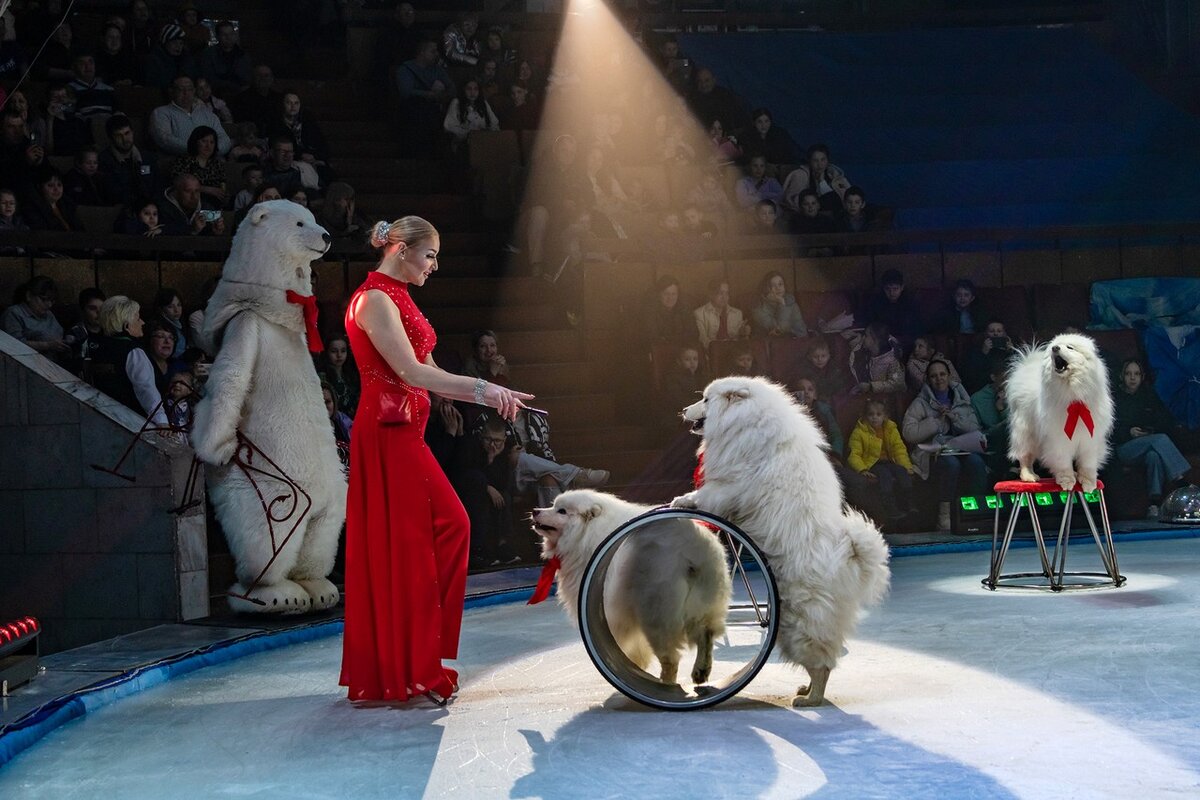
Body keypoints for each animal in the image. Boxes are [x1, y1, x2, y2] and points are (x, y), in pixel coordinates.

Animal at [532, 491, 729, 686]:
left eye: (562, 511)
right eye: (553, 505)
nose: (535, 510)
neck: (585, 533)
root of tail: (692, 548)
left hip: (656, 614)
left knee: (671, 658)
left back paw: (666, 683)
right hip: (704, 600)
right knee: (706, 634)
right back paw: (700, 671)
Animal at [1003, 333, 1113, 494]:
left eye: (1070, 347)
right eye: (1054, 347)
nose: (1055, 348)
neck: (1073, 395)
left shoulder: (1089, 440)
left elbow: (1088, 464)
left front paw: (1088, 482)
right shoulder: (1059, 440)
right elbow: (1063, 463)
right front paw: (1067, 481)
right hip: (1026, 432)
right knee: (1025, 457)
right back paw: (1029, 476)